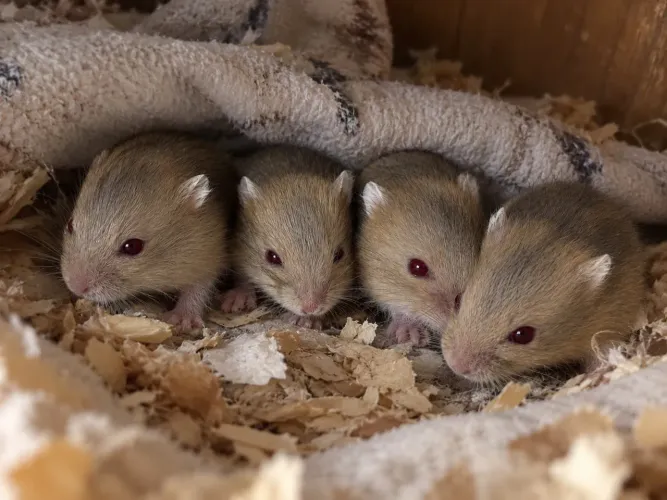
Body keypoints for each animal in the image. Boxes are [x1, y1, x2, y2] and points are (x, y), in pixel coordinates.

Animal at [60, 131, 238, 331]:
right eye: (70, 224)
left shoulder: (208, 255)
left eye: (132, 246)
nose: (75, 287)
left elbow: (198, 288)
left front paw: (179, 321)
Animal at [220, 145, 356, 328]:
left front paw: (306, 321)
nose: (311, 308)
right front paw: (236, 302)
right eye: (272, 257)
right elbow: (243, 277)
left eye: (340, 254)